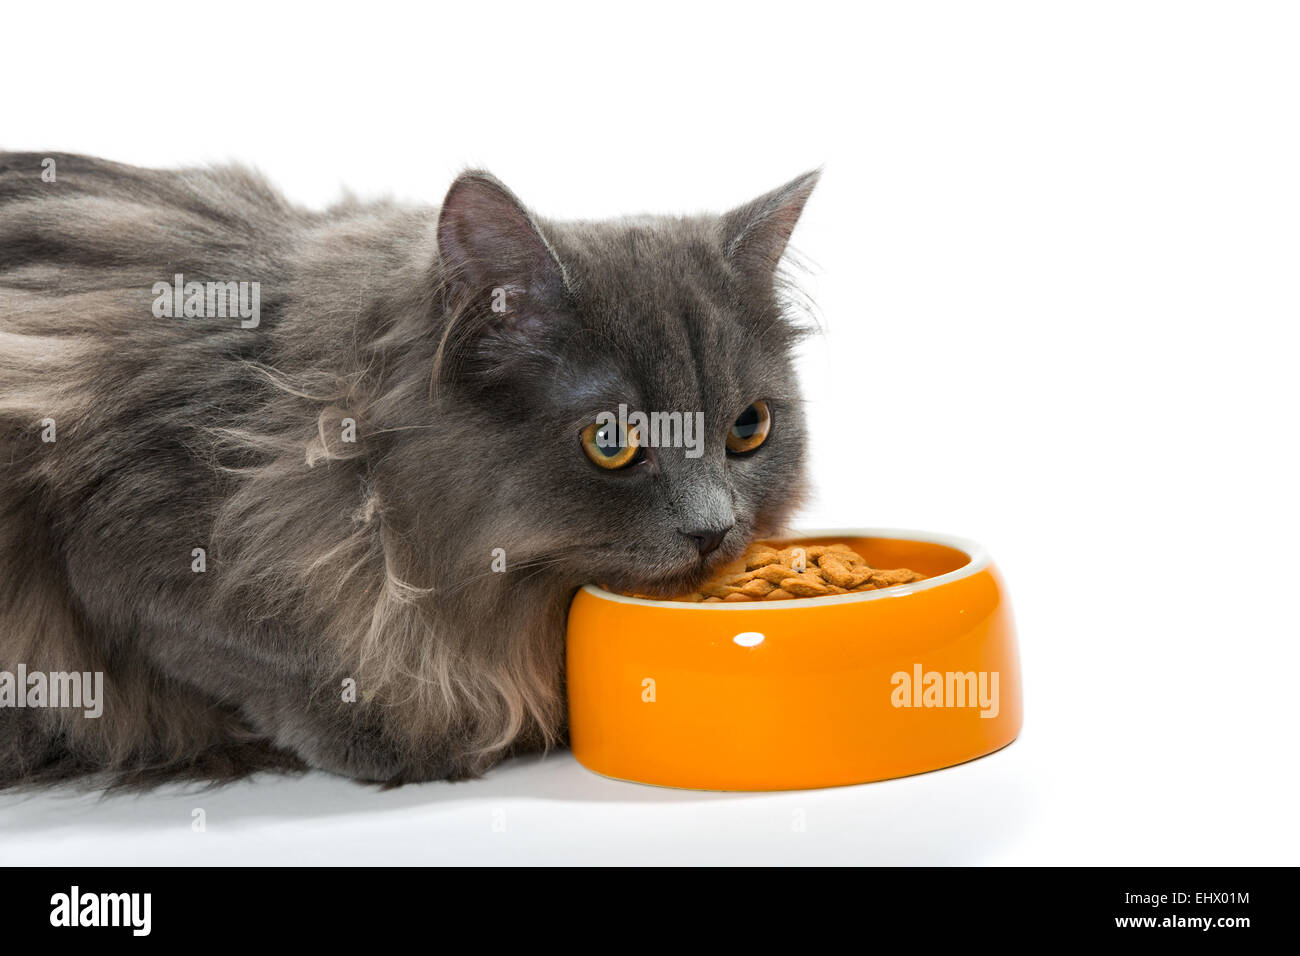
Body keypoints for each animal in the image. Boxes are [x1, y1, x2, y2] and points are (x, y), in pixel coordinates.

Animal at [0, 153, 811, 790]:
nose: (712, 529)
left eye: (748, 428)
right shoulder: (115, 546)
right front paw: (392, 740)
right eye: (610, 441)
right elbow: (242, 653)